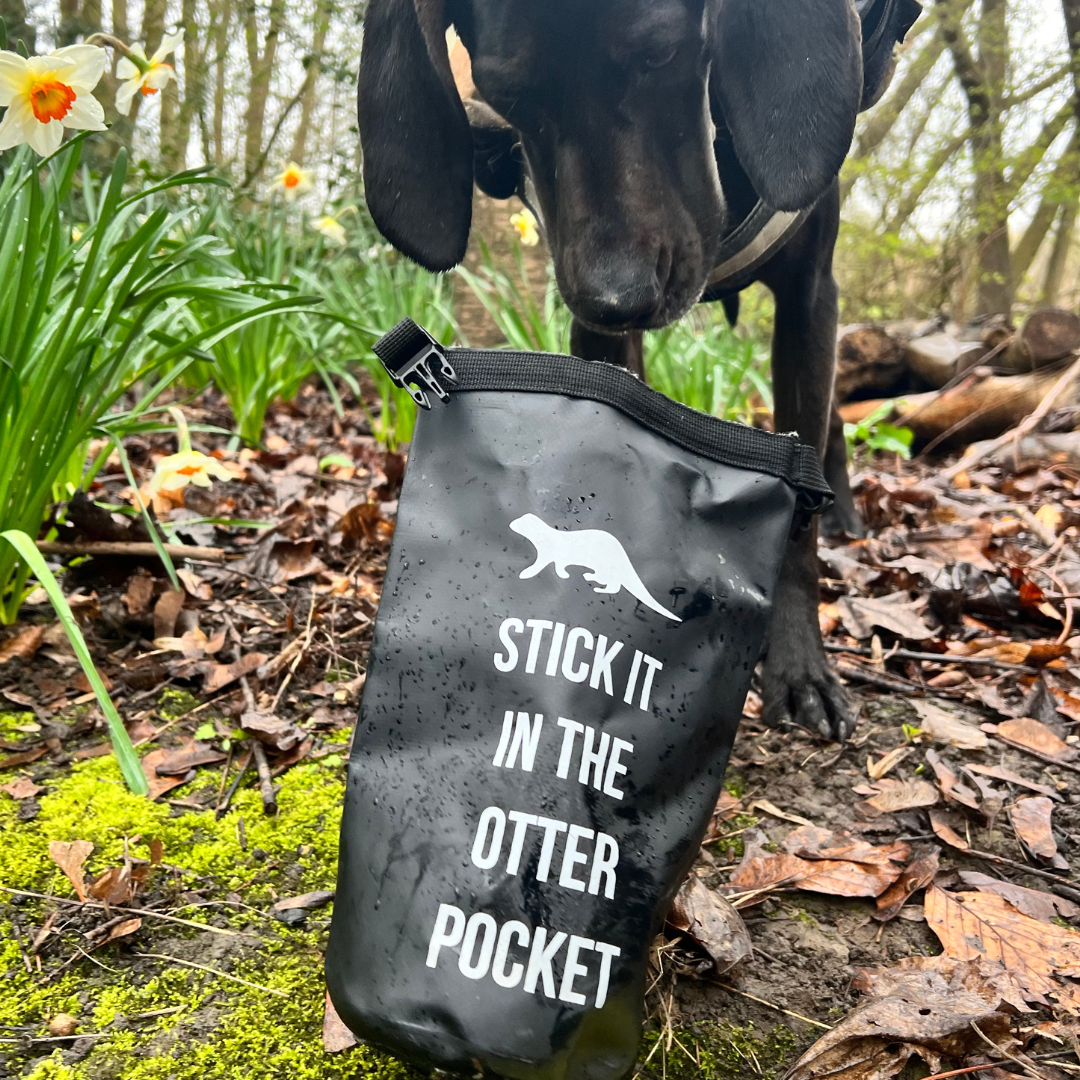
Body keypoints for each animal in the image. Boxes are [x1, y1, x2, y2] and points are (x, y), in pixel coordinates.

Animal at [354, 0, 920, 738]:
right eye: (508, 97)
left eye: (660, 53)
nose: (614, 297)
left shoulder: (810, 298)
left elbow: (801, 519)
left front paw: (800, 665)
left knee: (831, 435)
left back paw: (848, 512)